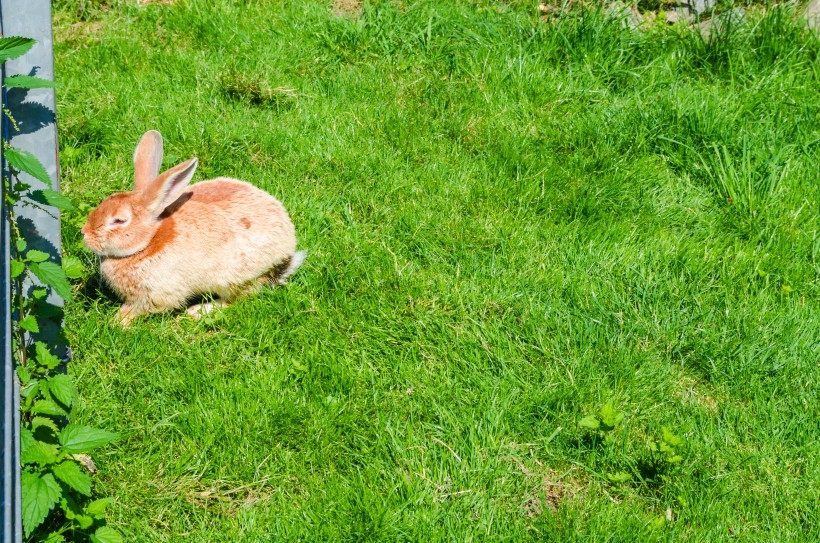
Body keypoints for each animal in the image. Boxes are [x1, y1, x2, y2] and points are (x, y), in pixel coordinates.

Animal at [81, 130, 306, 326]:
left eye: (119, 220)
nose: (85, 234)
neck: (148, 243)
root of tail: (287, 247)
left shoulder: (156, 295)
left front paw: (118, 322)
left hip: (233, 278)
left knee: (238, 299)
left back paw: (198, 311)